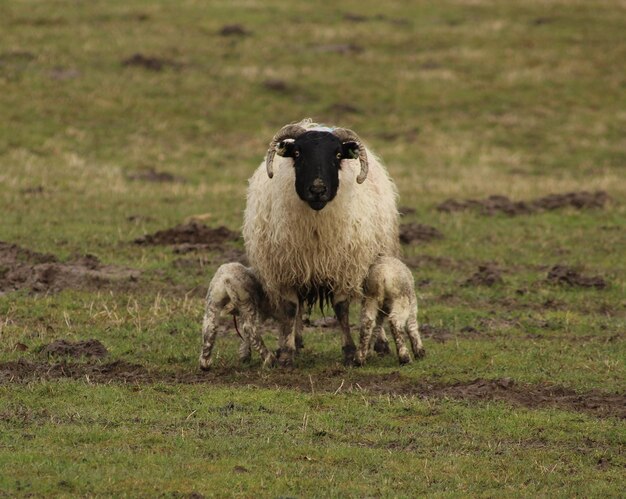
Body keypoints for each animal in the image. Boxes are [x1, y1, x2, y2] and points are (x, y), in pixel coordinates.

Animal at [241, 118, 398, 366]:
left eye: (337, 155)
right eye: (297, 153)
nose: (317, 189)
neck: (316, 226)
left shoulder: (342, 267)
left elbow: (341, 309)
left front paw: (349, 352)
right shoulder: (287, 268)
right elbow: (290, 309)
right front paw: (286, 352)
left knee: (374, 298)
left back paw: (381, 343)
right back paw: (296, 341)